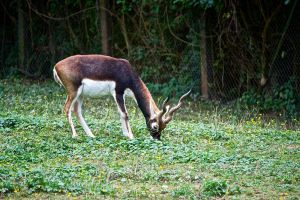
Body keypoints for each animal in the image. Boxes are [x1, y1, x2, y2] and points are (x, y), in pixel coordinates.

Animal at [53, 54, 191, 139]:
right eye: (155, 126)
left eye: (164, 127)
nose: (156, 138)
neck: (126, 72)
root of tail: (56, 66)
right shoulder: (118, 93)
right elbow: (125, 114)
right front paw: (130, 136)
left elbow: (121, 114)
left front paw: (126, 134)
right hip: (73, 92)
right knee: (66, 109)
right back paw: (75, 135)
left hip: (80, 94)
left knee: (77, 111)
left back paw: (91, 135)